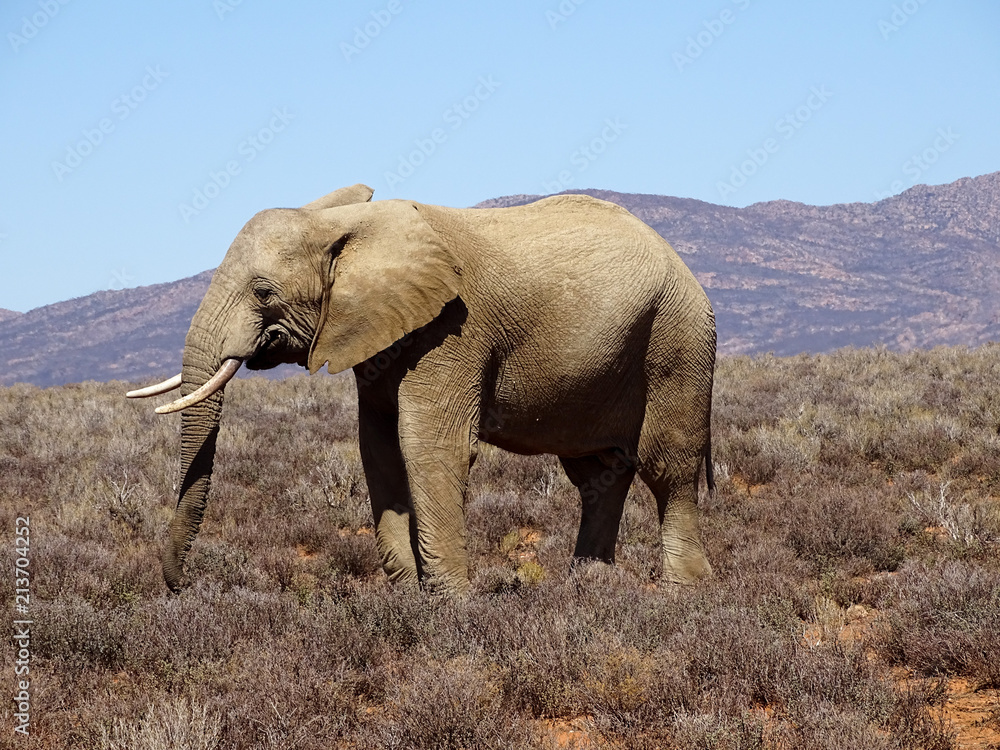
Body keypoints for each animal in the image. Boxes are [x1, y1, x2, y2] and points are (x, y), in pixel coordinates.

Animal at [128, 184, 717, 594]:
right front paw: (411, 598)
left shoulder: (450, 329)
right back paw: (587, 584)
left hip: (676, 338)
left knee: (666, 466)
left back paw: (682, 593)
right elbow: (379, 448)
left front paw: (454, 606)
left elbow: (429, 447)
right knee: (597, 473)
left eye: (263, 291)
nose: (183, 586)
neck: (345, 224)